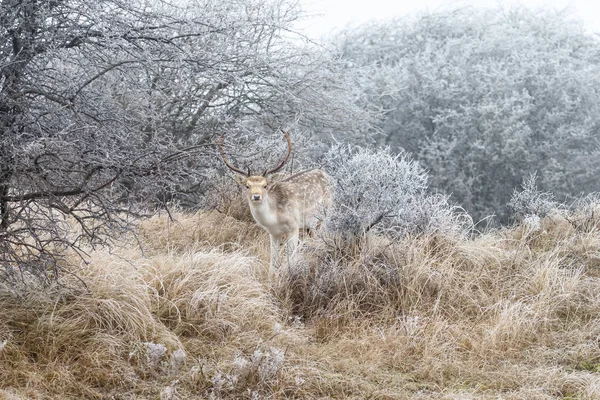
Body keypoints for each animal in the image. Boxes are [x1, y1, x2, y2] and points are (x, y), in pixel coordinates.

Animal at [217, 132, 330, 272]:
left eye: (265, 185)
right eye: (247, 186)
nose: (256, 196)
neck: (275, 218)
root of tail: (328, 175)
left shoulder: (294, 226)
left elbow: (290, 256)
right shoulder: (273, 233)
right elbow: (273, 261)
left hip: (327, 213)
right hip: (311, 226)